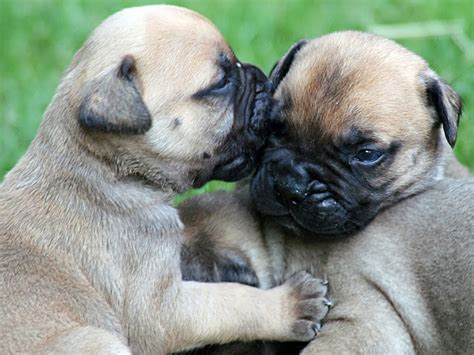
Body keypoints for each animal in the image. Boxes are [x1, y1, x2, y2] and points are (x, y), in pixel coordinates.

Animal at [0, 6, 330, 355]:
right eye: (220, 83)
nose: (262, 79)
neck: (105, 167)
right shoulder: (163, 310)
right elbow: (228, 301)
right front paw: (289, 305)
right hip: (97, 341)